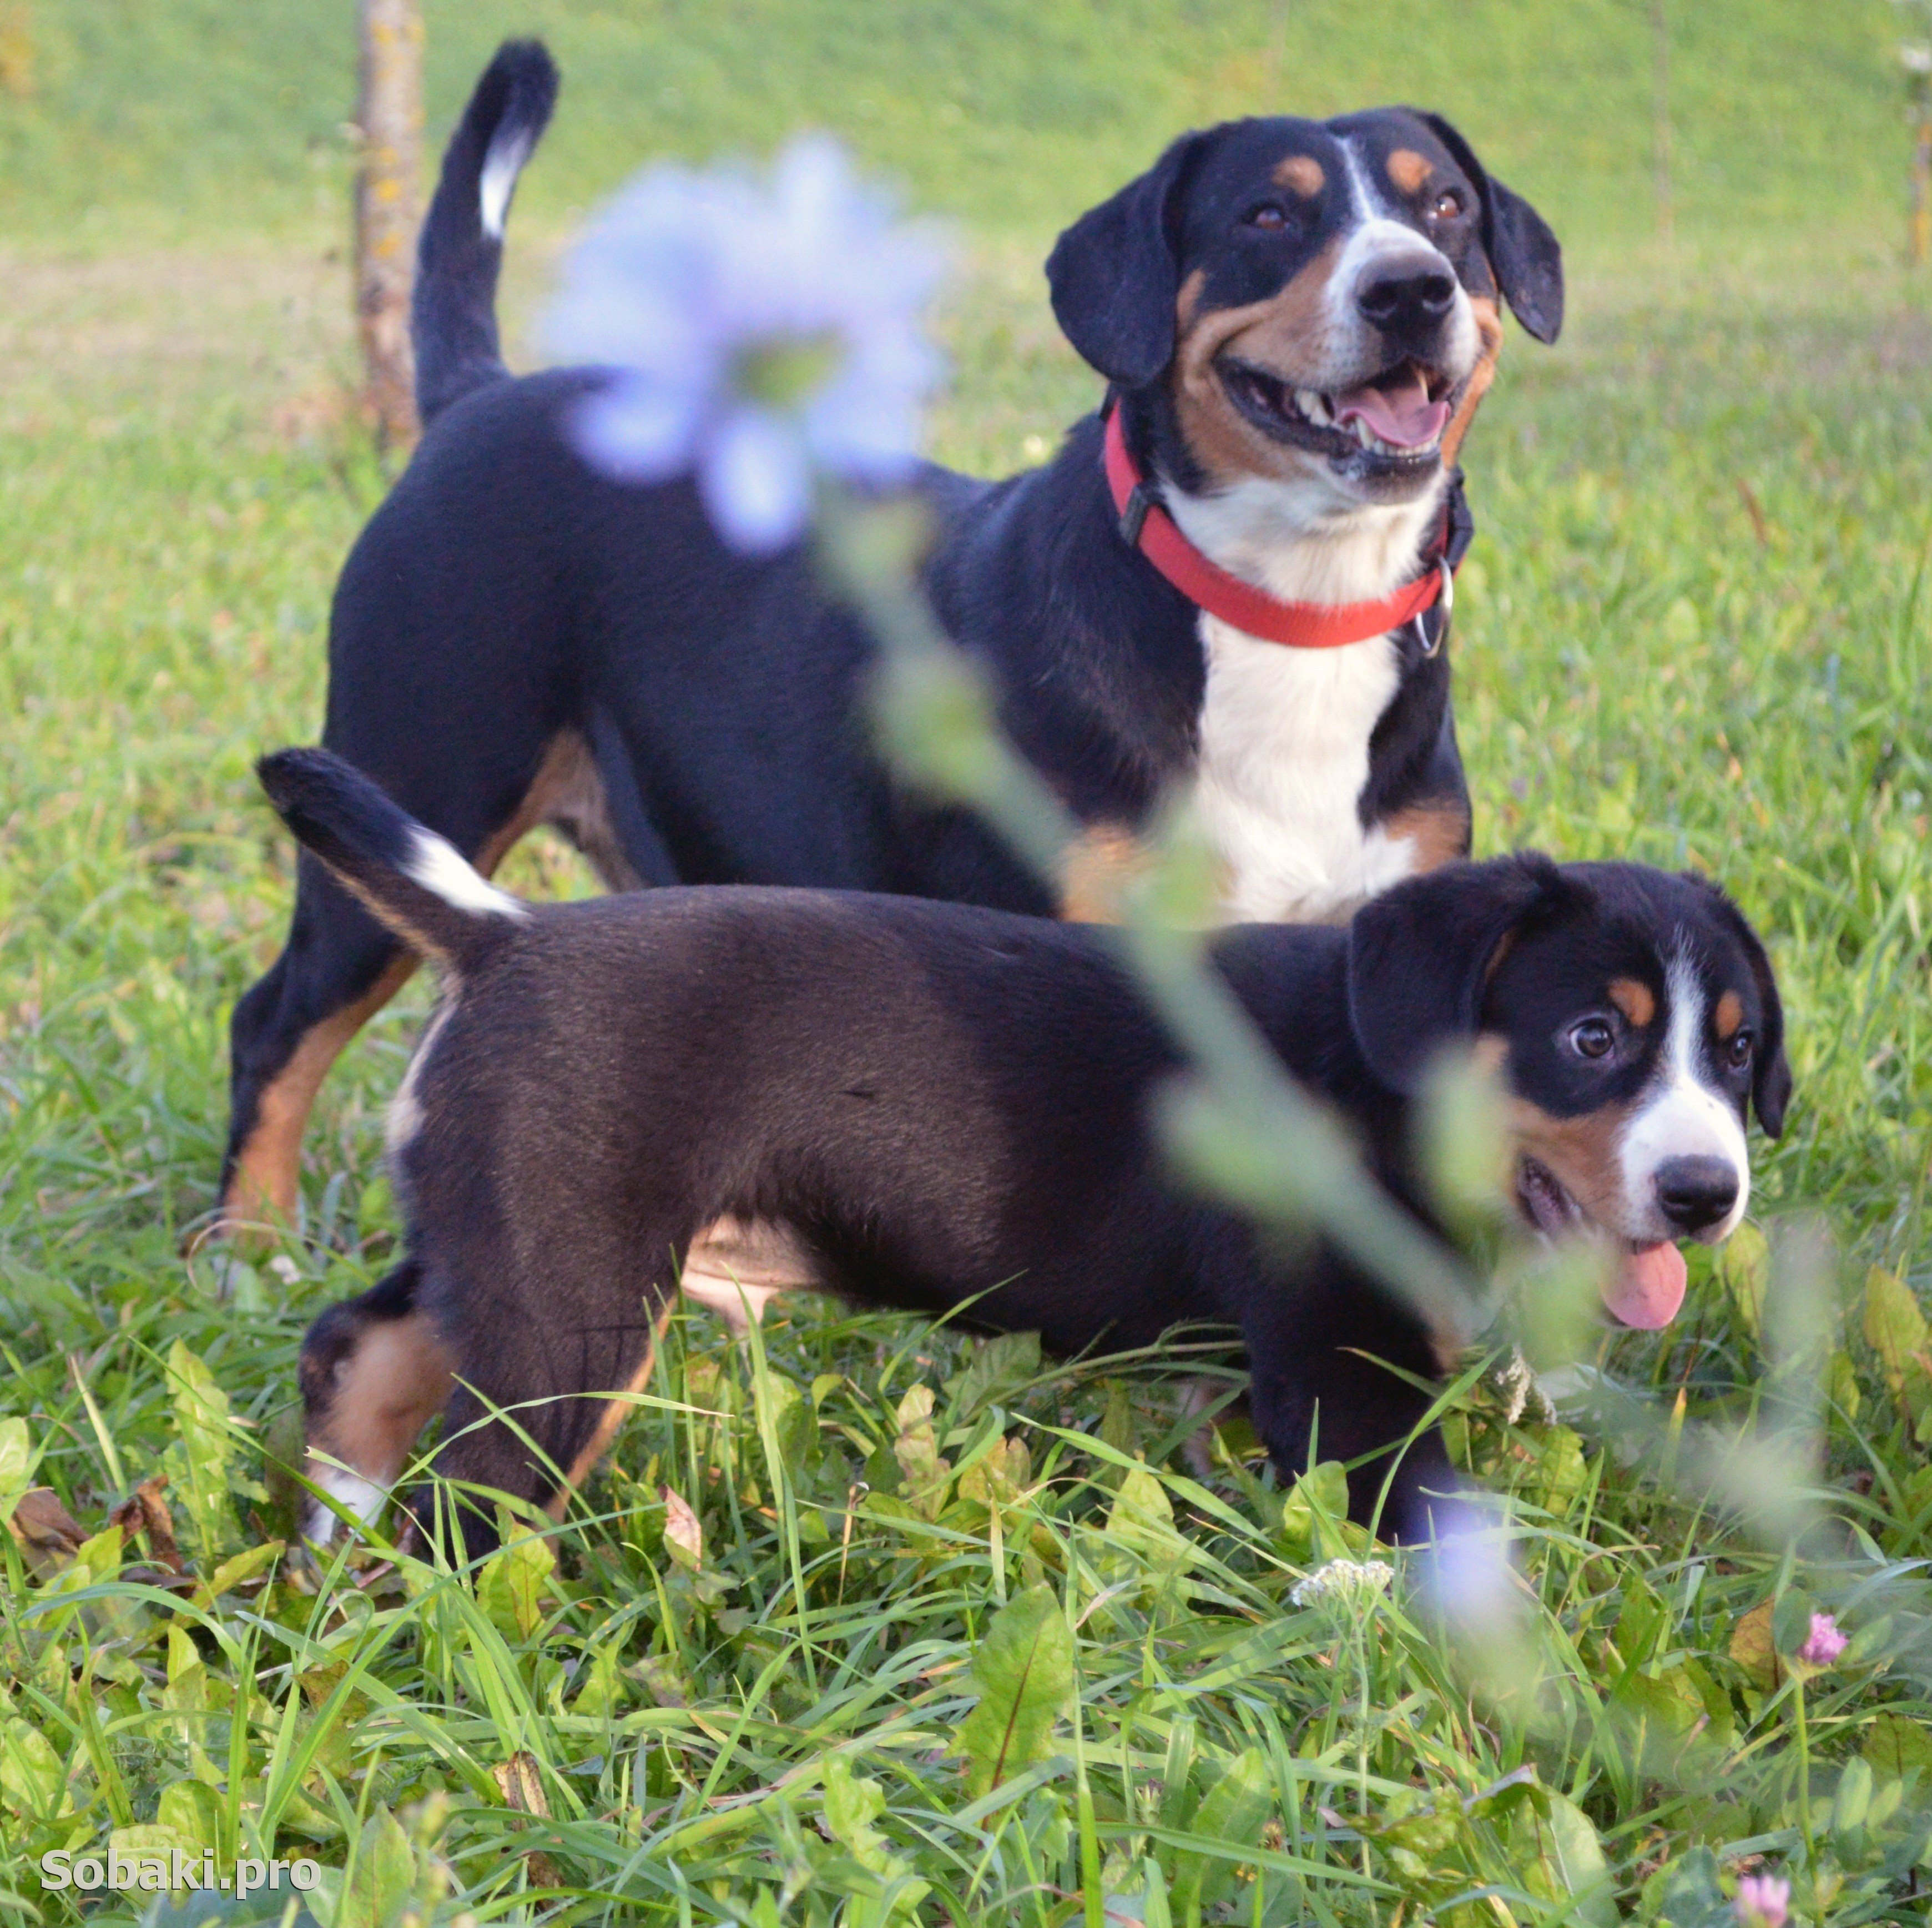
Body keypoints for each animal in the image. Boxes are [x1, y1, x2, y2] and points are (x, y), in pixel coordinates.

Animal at [219, 45, 1561, 1259]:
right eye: (1269, 214)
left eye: (1444, 205)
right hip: (418, 777)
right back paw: (246, 1250)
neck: (1281, 608)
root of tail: (475, 397)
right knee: (273, 1023)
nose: (1411, 289)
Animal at [264, 749, 1785, 1553]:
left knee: (356, 1346)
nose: (1705, 1194)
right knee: (466, 1508)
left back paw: (325, 1541)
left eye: (1735, 1049)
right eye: (1592, 1037)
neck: (1384, 1089)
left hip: (500, 1241)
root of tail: (503, 932)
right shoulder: (1342, 1375)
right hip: (570, 1309)